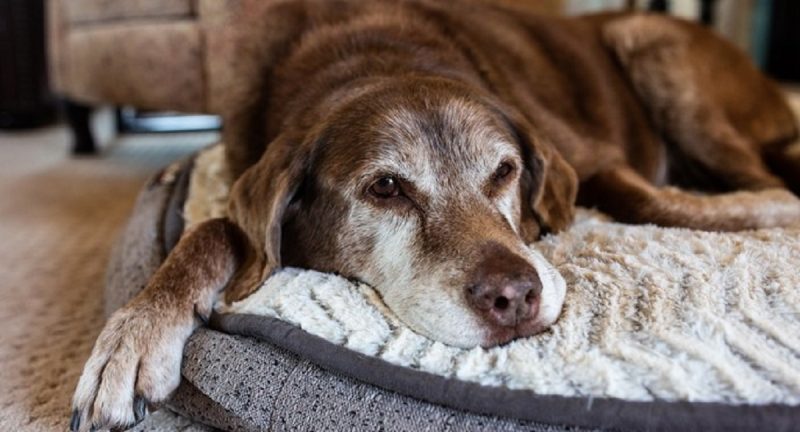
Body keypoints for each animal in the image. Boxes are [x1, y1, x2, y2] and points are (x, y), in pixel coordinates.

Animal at [70, 0, 800, 428]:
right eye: (387, 188)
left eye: (504, 172)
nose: (515, 298)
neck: (370, 54)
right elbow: (216, 229)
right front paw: (134, 335)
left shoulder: (590, 157)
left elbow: (645, 199)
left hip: (651, 45)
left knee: (759, 173)